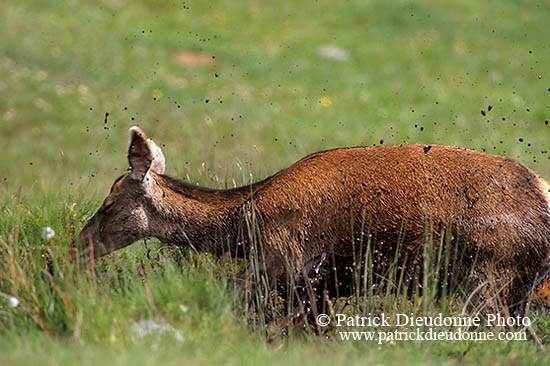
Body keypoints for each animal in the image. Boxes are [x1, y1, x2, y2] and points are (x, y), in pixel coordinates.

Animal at [78, 127, 550, 314]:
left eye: (108, 205)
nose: (78, 244)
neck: (242, 228)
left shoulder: (284, 264)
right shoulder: (320, 285)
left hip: (490, 276)